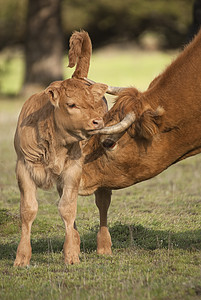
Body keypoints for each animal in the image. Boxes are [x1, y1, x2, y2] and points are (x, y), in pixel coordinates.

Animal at [13, 29, 112, 264]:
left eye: (94, 104)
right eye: (71, 104)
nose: (98, 121)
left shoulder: (73, 170)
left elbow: (67, 208)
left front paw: (71, 256)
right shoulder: (23, 168)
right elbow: (28, 210)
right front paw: (22, 258)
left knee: (102, 202)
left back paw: (104, 246)